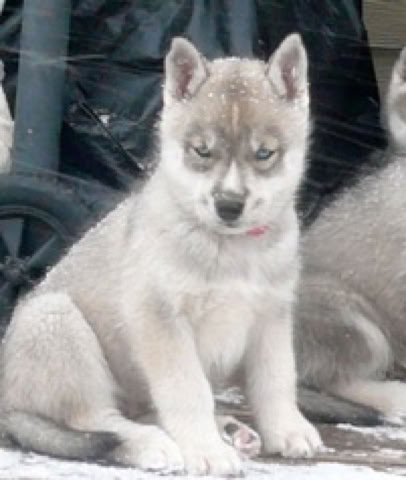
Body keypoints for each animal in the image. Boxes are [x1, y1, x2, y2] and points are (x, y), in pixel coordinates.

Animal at [0, 34, 321, 475]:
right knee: (97, 421)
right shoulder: (161, 319)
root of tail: (7, 405)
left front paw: (288, 430)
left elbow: (276, 380)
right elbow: (187, 390)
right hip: (55, 320)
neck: (230, 248)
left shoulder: (270, 316)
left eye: (264, 153)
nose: (229, 206)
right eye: (201, 151)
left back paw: (229, 430)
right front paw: (205, 450)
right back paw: (154, 443)